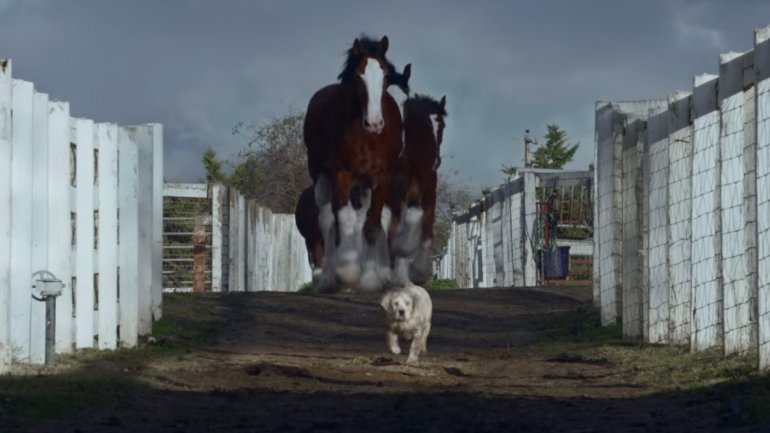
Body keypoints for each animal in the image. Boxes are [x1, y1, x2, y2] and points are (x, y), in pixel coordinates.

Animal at [304, 34, 404, 294]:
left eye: (386, 75)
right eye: (359, 75)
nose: (374, 123)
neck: (365, 136)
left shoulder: (381, 177)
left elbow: (372, 225)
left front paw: (369, 279)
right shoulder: (341, 173)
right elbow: (346, 218)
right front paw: (349, 273)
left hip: (365, 183)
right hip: (321, 177)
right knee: (328, 219)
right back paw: (329, 279)